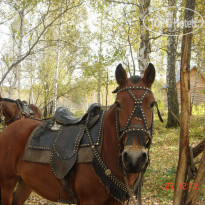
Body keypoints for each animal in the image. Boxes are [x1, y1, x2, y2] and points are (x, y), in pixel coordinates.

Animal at [0, 63, 163, 204]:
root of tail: (9, 128)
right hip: (6, 184)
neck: (105, 146)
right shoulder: (90, 200)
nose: (134, 158)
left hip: (25, 183)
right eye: (118, 104)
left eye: (152, 104)